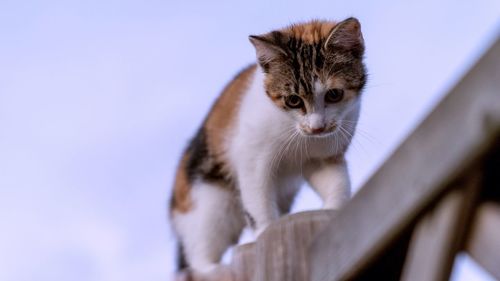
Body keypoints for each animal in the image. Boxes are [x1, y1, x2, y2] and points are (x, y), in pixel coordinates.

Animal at [170, 17, 366, 272]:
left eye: (334, 94)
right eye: (293, 100)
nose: (317, 127)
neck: (297, 133)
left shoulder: (323, 157)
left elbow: (337, 181)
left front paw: (333, 208)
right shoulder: (251, 159)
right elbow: (258, 200)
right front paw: (264, 230)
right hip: (210, 203)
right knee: (199, 253)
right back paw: (213, 267)